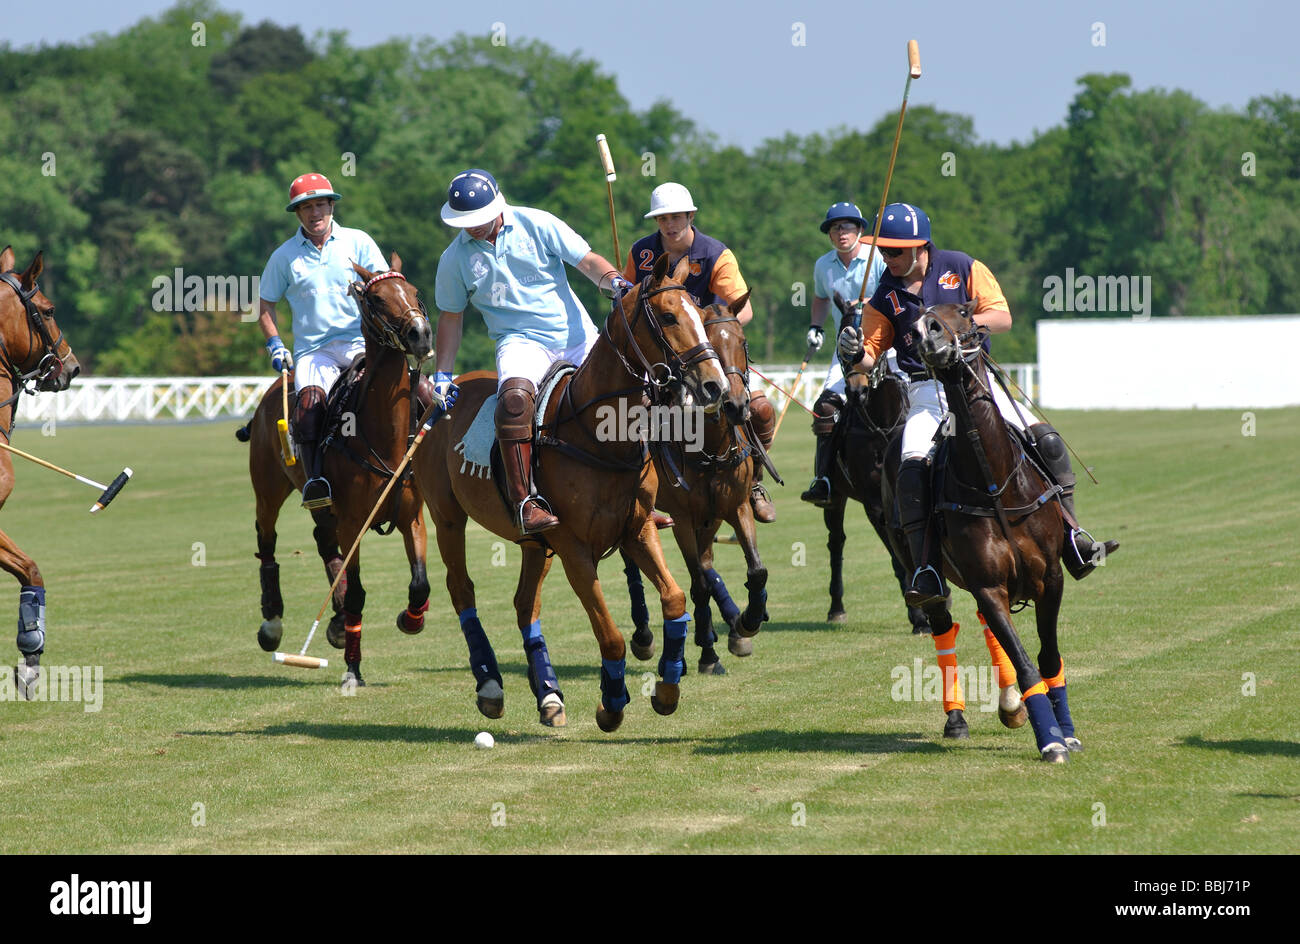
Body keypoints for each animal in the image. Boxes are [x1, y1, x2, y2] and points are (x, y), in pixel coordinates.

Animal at [239, 254, 431, 691]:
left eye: (413, 291)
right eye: (376, 299)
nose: (421, 334)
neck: (384, 436)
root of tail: (274, 389)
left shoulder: (412, 516)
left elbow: (420, 582)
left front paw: (408, 620)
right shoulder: (354, 521)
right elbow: (360, 590)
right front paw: (352, 671)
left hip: (324, 506)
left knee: (324, 543)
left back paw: (338, 621)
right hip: (269, 488)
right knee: (267, 539)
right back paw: (272, 622)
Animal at [410, 254, 728, 733]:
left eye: (700, 315)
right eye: (670, 316)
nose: (716, 387)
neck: (601, 437)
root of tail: (444, 396)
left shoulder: (637, 530)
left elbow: (674, 600)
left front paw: (667, 689)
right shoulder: (574, 547)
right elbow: (611, 637)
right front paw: (611, 703)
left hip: (533, 541)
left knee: (525, 604)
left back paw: (549, 696)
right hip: (449, 517)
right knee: (461, 589)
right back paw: (491, 686)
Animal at [621, 293, 769, 670]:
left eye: (743, 342)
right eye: (710, 343)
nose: (735, 405)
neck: (711, 446)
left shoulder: (735, 507)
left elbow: (755, 569)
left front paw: (747, 622)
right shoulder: (683, 519)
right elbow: (698, 585)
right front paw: (708, 651)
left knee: (706, 564)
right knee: (634, 566)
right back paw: (644, 637)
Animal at [883, 302, 1086, 759]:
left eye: (964, 311)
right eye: (916, 319)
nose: (927, 331)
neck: (995, 484)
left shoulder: (1051, 578)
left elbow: (1049, 659)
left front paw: (1065, 730)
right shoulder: (988, 584)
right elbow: (1026, 664)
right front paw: (1049, 740)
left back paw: (1010, 706)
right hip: (933, 576)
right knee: (944, 626)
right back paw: (957, 719)